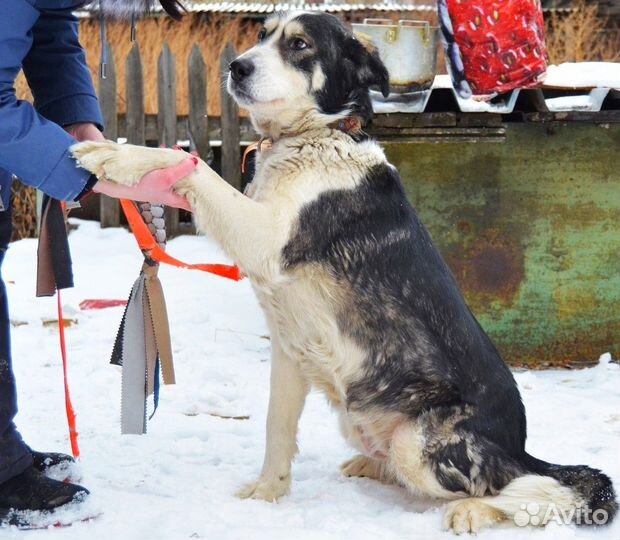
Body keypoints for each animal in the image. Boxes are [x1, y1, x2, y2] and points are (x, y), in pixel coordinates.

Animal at [74, 10, 616, 532]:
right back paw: (369, 465)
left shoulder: (266, 240)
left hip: (422, 444)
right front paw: (268, 495)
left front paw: (114, 154)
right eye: (262, 35)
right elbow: (276, 428)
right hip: (358, 411)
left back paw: (476, 512)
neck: (316, 135)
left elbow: (194, 167)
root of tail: (519, 450)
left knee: (520, 489)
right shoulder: (289, 352)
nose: (237, 67)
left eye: (299, 45)